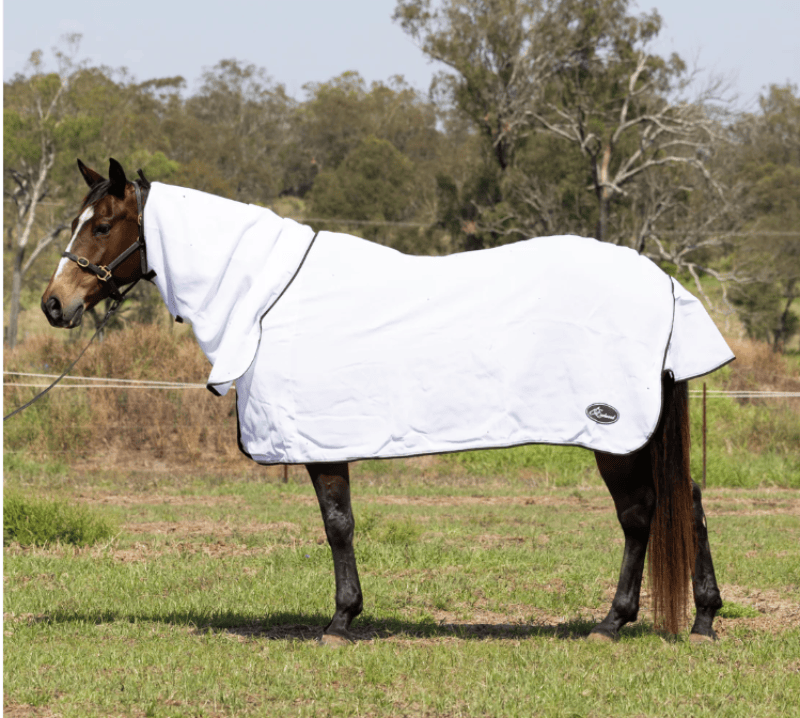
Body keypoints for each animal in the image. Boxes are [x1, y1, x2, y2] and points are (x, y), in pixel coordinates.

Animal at [41, 158, 726, 645]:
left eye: (101, 226)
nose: (55, 303)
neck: (266, 299)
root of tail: (665, 283)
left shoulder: (321, 441)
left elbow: (337, 525)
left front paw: (341, 622)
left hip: (618, 433)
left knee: (641, 512)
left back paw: (629, 623)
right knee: (680, 502)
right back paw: (690, 618)